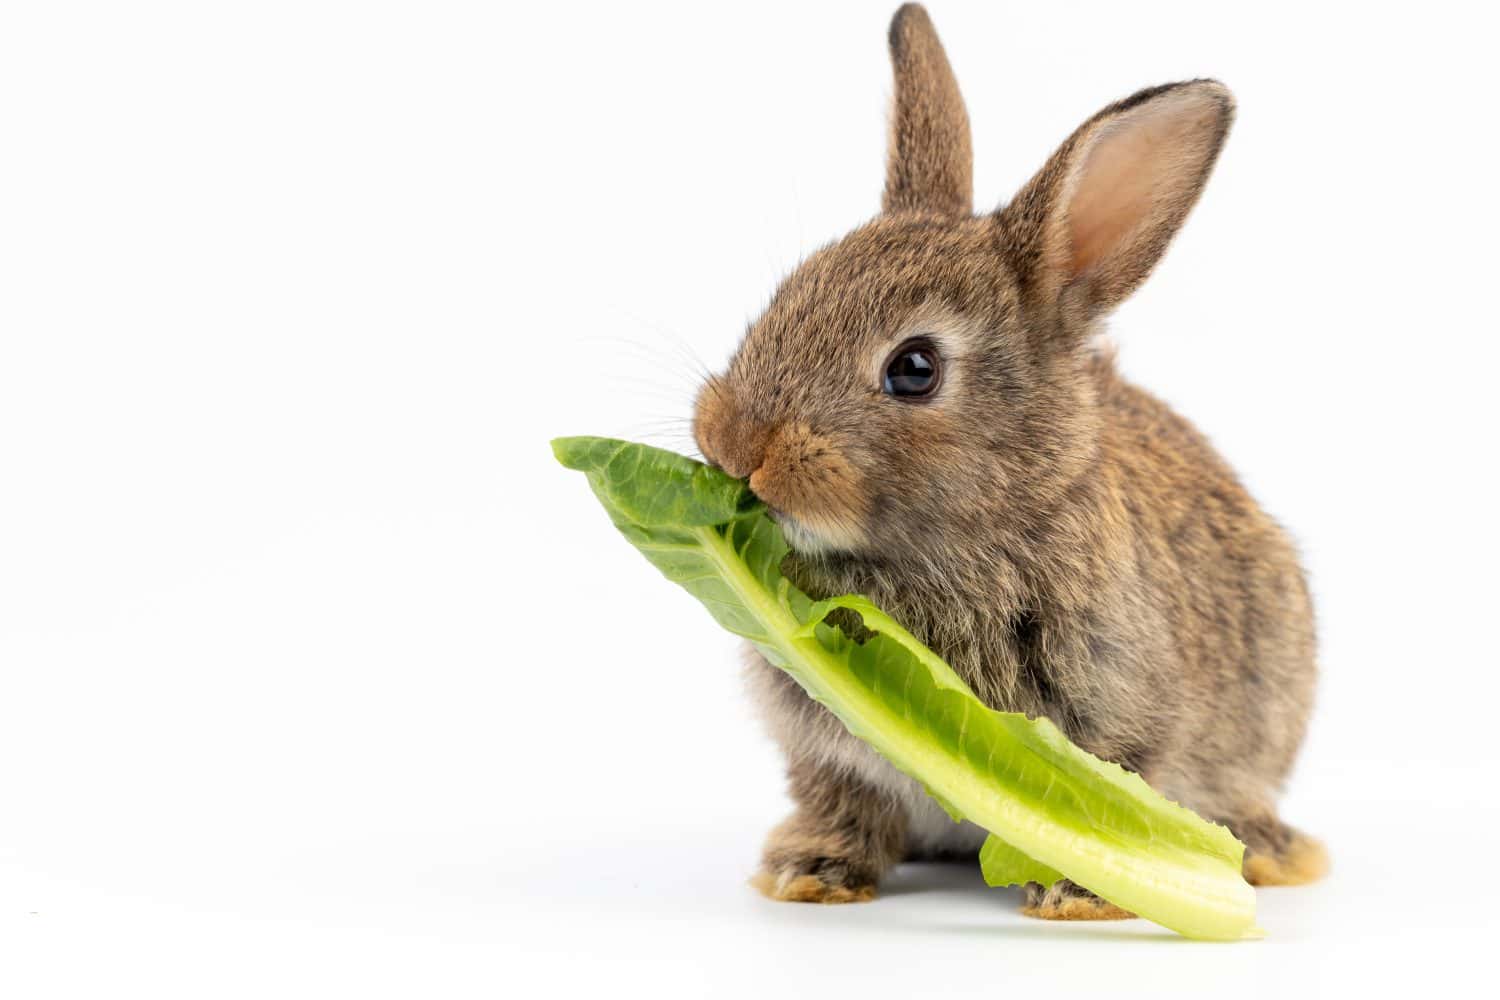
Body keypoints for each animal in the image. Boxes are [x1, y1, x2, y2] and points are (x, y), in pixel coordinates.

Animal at [690, 1, 1326, 923]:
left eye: (914, 368)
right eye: (787, 296)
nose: (733, 447)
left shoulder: (1118, 721)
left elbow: (1105, 802)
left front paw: (1076, 895)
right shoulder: (830, 751)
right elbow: (841, 798)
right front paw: (811, 872)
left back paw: (1274, 853)